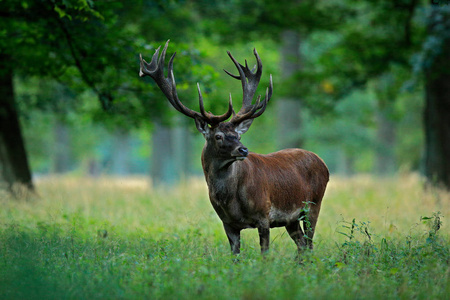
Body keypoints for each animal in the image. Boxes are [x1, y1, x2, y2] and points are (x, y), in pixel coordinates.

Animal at [139, 39, 328, 255]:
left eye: (238, 135)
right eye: (218, 136)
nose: (243, 150)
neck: (230, 201)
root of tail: (323, 163)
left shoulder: (264, 215)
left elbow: (265, 255)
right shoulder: (227, 223)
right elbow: (235, 256)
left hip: (313, 205)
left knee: (309, 244)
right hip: (291, 219)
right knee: (302, 246)